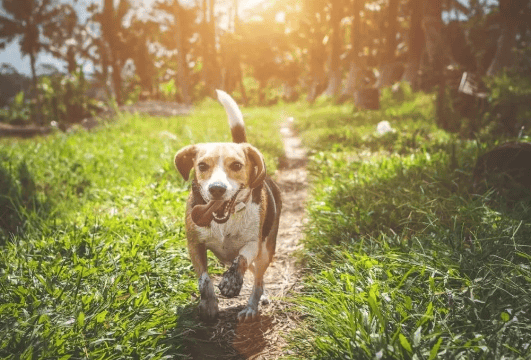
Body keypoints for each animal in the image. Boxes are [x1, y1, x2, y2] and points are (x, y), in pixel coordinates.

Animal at [175, 90, 282, 324]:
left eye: (236, 165)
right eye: (202, 166)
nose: (217, 189)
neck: (226, 220)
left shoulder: (253, 243)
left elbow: (240, 259)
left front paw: (231, 282)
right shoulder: (194, 244)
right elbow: (204, 279)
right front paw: (209, 305)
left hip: (265, 251)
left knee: (258, 280)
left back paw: (251, 306)